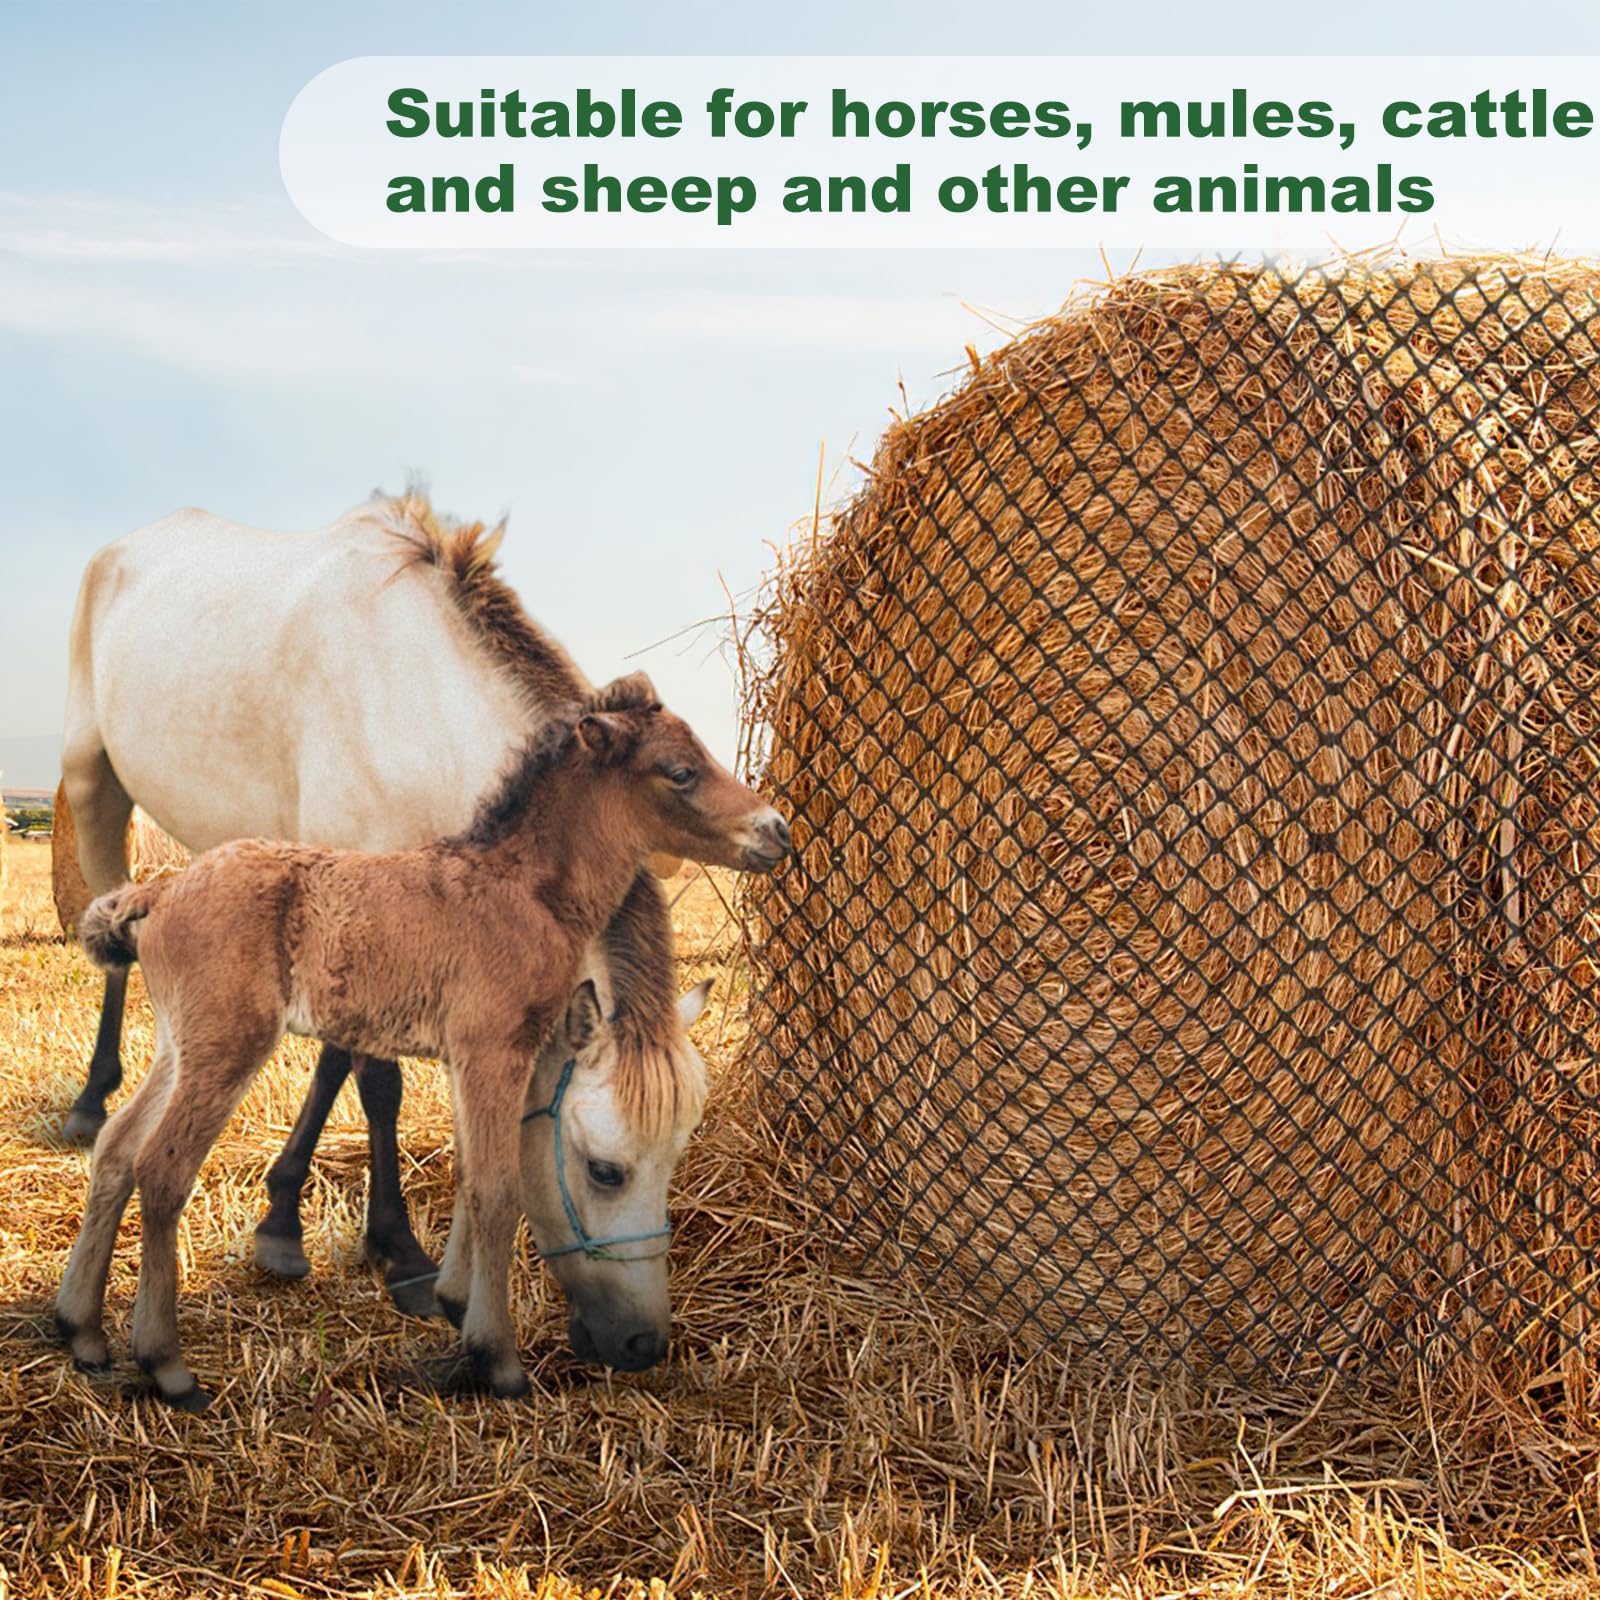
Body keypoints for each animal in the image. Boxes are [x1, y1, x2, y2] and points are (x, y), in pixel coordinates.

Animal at [55, 676, 790, 1409]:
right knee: (162, 1168)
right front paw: (497, 1360)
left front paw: (456, 1304)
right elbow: (497, 1190)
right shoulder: (495, 1047)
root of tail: (162, 889)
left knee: (116, 1148)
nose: (776, 829)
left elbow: (470, 1174)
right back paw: (166, 1365)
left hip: (180, 1045)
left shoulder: (474, 1058)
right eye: (682, 772)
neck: (526, 890)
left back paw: (81, 1331)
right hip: (227, 1044)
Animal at [57, 491, 762, 1321]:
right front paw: (399, 1250)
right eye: (603, 1167)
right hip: (93, 784)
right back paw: (90, 1101)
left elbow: (338, 1056)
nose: (775, 832)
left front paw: (283, 1218)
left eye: (678, 1151)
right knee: (110, 943)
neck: (414, 699)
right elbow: (379, 1083)